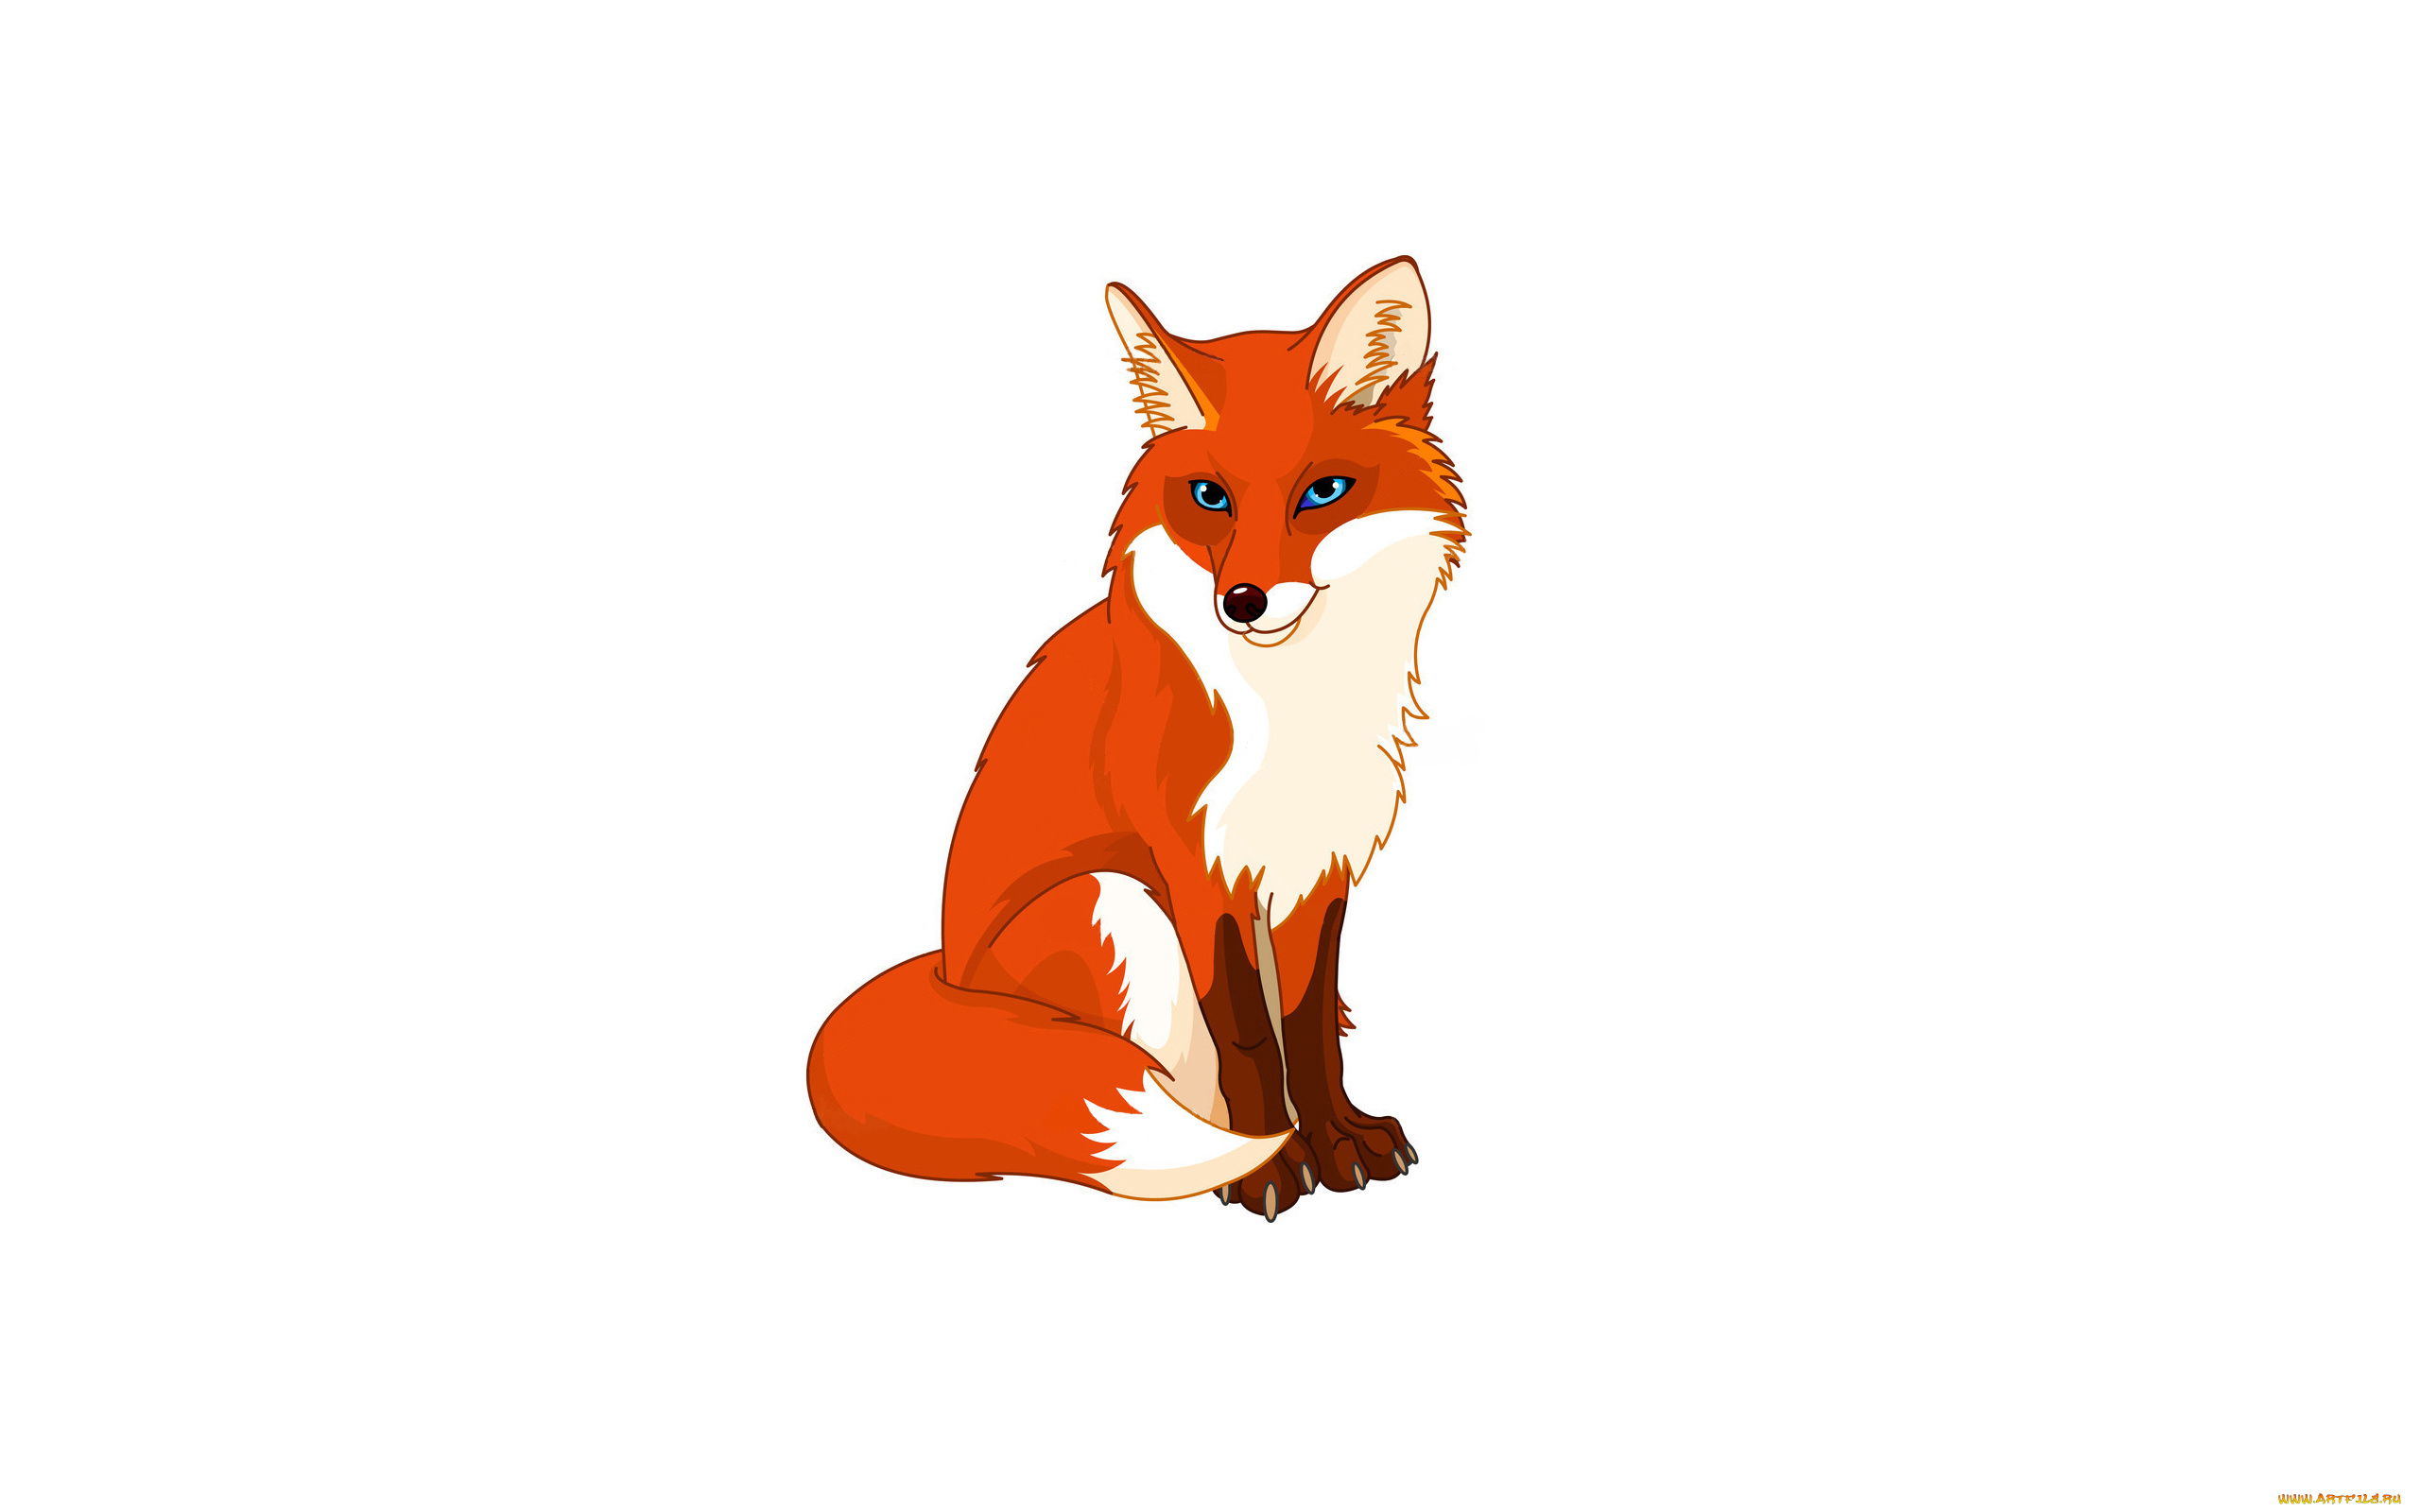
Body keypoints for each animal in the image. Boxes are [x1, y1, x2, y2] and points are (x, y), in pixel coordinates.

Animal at [806, 257, 1467, 1222]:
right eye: (1210, 498)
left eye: (1322, 493)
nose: (1243, 601)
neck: (1288, 709)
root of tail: (945, 973)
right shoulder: (1196, 868)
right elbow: (1248, 1040)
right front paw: (1273, 1165)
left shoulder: (1315, 867)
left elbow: (1308, 1030)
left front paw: (1339, 1138)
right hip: (1112, 899)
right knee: (1171, 1081)